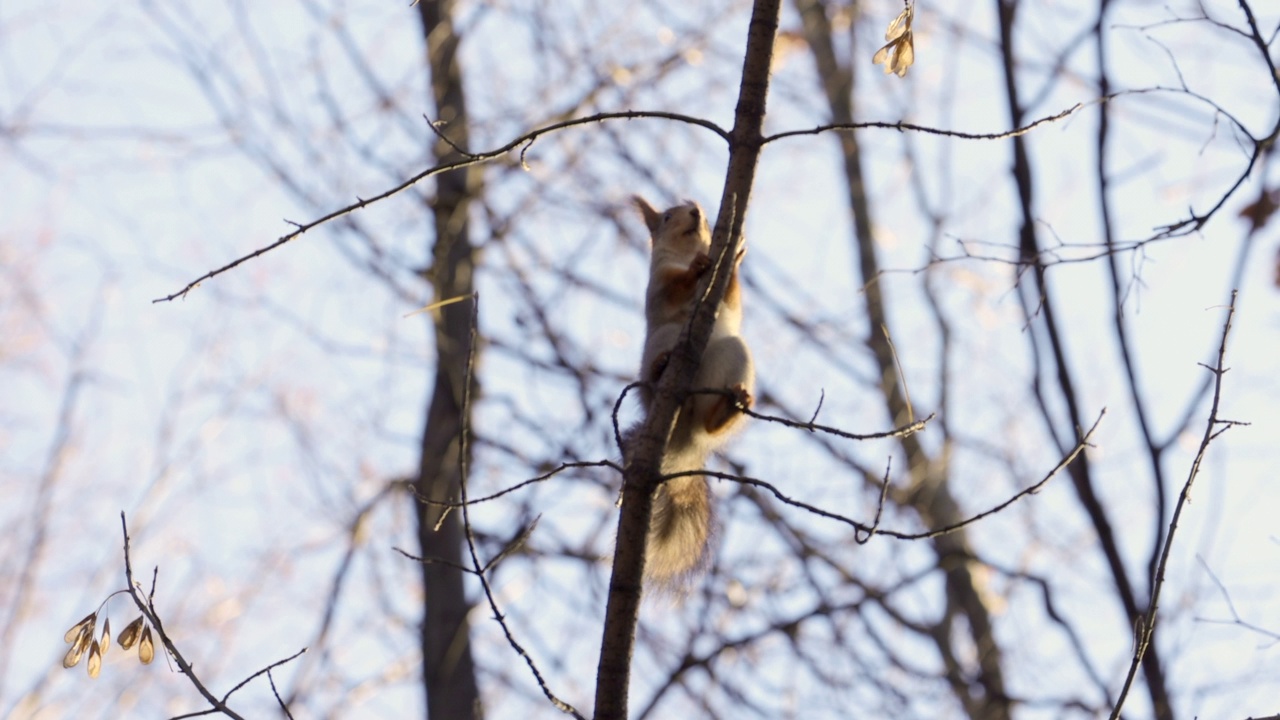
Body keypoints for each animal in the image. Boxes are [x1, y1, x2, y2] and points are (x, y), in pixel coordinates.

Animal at [627, 194, 752, 584]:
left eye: (707, 219)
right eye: (667, 216)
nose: (696, 212)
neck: (684, 252)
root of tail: (684, 438)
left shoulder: (727, 303)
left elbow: (732, 301)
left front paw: (735, 255)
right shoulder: (658, 285)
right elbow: (673, 290)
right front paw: (698, 267)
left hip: (733, 355)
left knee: (709, 420)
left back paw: (726, 410)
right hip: (662, 346)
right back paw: (659, 370)